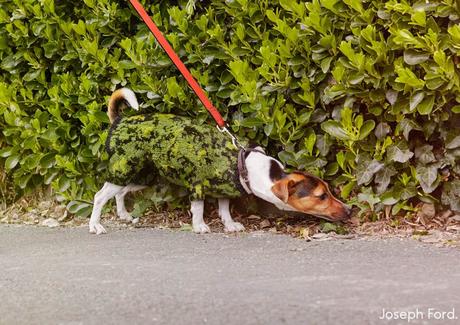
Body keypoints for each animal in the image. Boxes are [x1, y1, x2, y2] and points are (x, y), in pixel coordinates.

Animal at [88, 88, 350, 234]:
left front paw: (230, 224)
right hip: (124, 168)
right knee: (99, 196)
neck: (248, 166)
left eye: (329, 191)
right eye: (321, 196)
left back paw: (123, 214)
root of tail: (120, 120)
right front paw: (199, 226)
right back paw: (95, 225)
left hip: (142, 176)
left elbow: (225, 208)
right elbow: (198, 208)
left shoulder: (225, 189)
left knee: (120, 193)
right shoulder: (198, 186)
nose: (349, 210)